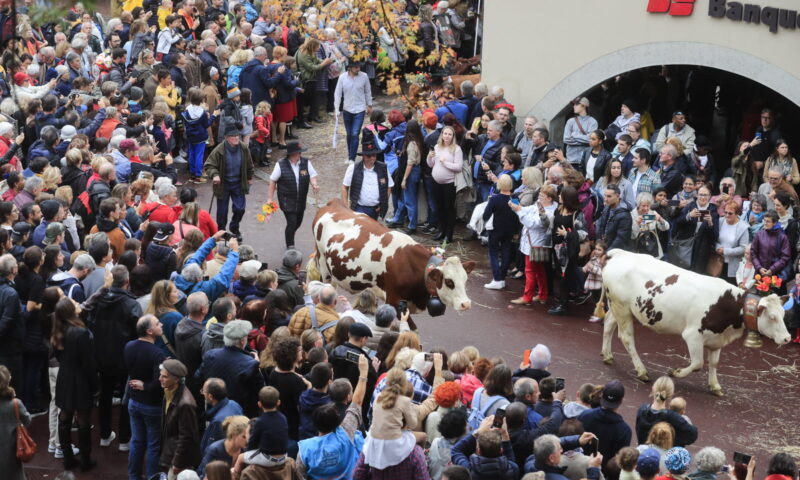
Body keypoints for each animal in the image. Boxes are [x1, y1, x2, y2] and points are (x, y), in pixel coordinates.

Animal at [311, 199, 476, 313]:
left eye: (465, 279)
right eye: (449, 281)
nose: (466, 304)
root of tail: (334, 203)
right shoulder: (393, 299)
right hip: (324, 268)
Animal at [600, 249, 791, 396]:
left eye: (783, 314)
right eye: (772, 317)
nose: (787, 338)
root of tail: (621, 253)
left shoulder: (717, 338)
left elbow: (714, 363)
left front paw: (715, 386)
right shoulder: (692, 336)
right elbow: (698, 363)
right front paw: (676, 372)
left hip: (618, 307)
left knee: (608, 324)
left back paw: (607, 355)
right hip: (622, 308)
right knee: (627, 338)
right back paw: (642, 371)